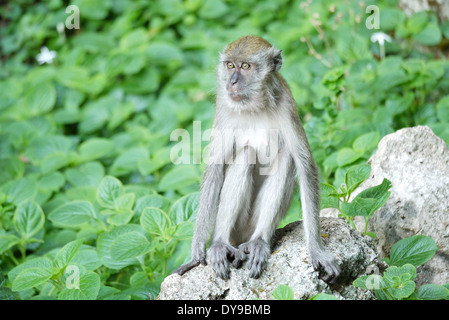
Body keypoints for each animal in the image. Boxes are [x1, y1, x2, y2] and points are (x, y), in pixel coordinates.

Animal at [172, 36, 340, 284]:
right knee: (246, 154)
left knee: (286, 158)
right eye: (230, 65)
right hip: (238, 229)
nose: (232, 82)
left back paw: (258, 242)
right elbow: (215, 169)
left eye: (245, 66)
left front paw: (317, 250)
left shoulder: (287, 105)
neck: (254, 106)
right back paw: (220, 244)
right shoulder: (224, 107)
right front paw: (196, 254)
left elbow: (304, 165)